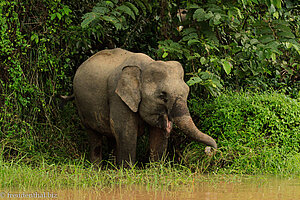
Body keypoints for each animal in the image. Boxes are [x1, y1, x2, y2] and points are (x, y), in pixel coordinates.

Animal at [66, 48, 216, 166]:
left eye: (187, 92)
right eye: (163, 96)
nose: (210, 150)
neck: (146, 65)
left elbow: (158, 134)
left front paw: (156, 169)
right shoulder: (117, 97)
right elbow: (125, 131)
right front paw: (127, 172)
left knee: (112, 136)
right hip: (82, 107)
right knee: (94, 136)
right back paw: (97, 168)